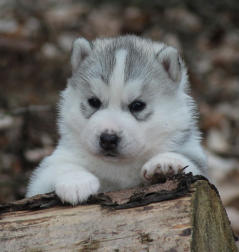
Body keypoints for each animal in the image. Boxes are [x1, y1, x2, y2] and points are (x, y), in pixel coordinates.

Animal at [26, 36, 207, 205]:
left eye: (137, 105)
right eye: (94, 102)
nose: (108, 139)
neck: (118, 167)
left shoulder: (195, 160)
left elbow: (191, 163)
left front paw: (165, 164)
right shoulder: (48, 171)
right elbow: (59, 167)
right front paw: (76, 182)